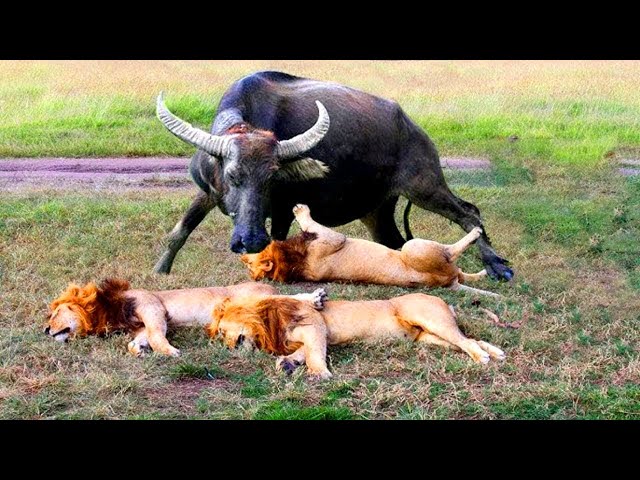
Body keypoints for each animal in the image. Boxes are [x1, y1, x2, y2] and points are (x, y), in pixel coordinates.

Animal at [45, 278, 328, 356]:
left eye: (55, 314)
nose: (45, 331)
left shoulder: (152, 306)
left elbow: (157, 334)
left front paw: (170, 352)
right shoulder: (142, 326)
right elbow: (138, 340)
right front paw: (139, 350)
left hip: (247, 298)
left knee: (284, 299)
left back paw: (316, 297)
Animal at [152, 71, 512, 282]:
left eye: (272, 179)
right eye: (231, 175)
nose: (250, 240)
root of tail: (413, 128)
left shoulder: (283, 208)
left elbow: (279, 243)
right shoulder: (208, 192)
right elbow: (180, 231)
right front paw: (160, 270)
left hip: (424, 185)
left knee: (469, 213)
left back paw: (498, 266)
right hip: (377, 210)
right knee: (395, 243)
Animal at [209, 292, 504, 378]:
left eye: (222, 331)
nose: (229, 347)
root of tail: (442, 300)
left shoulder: (315, 325)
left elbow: (314, 353)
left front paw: (319, 374)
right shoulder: (317, 334)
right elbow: (303, 352)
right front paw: (288, 363)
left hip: (430, 318)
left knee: (466, 341)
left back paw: (483, 358)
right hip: (429, 336)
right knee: (469, 340)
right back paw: (495, 353)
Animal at [240, 203, 500, 296]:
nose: (243, 250)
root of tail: (448, 283)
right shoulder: (334, 238)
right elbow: (309, 221)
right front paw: (300, 210)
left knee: (462, 272)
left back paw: (485, 272)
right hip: (413, 247)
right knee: (452, 252)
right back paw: (475, 233)